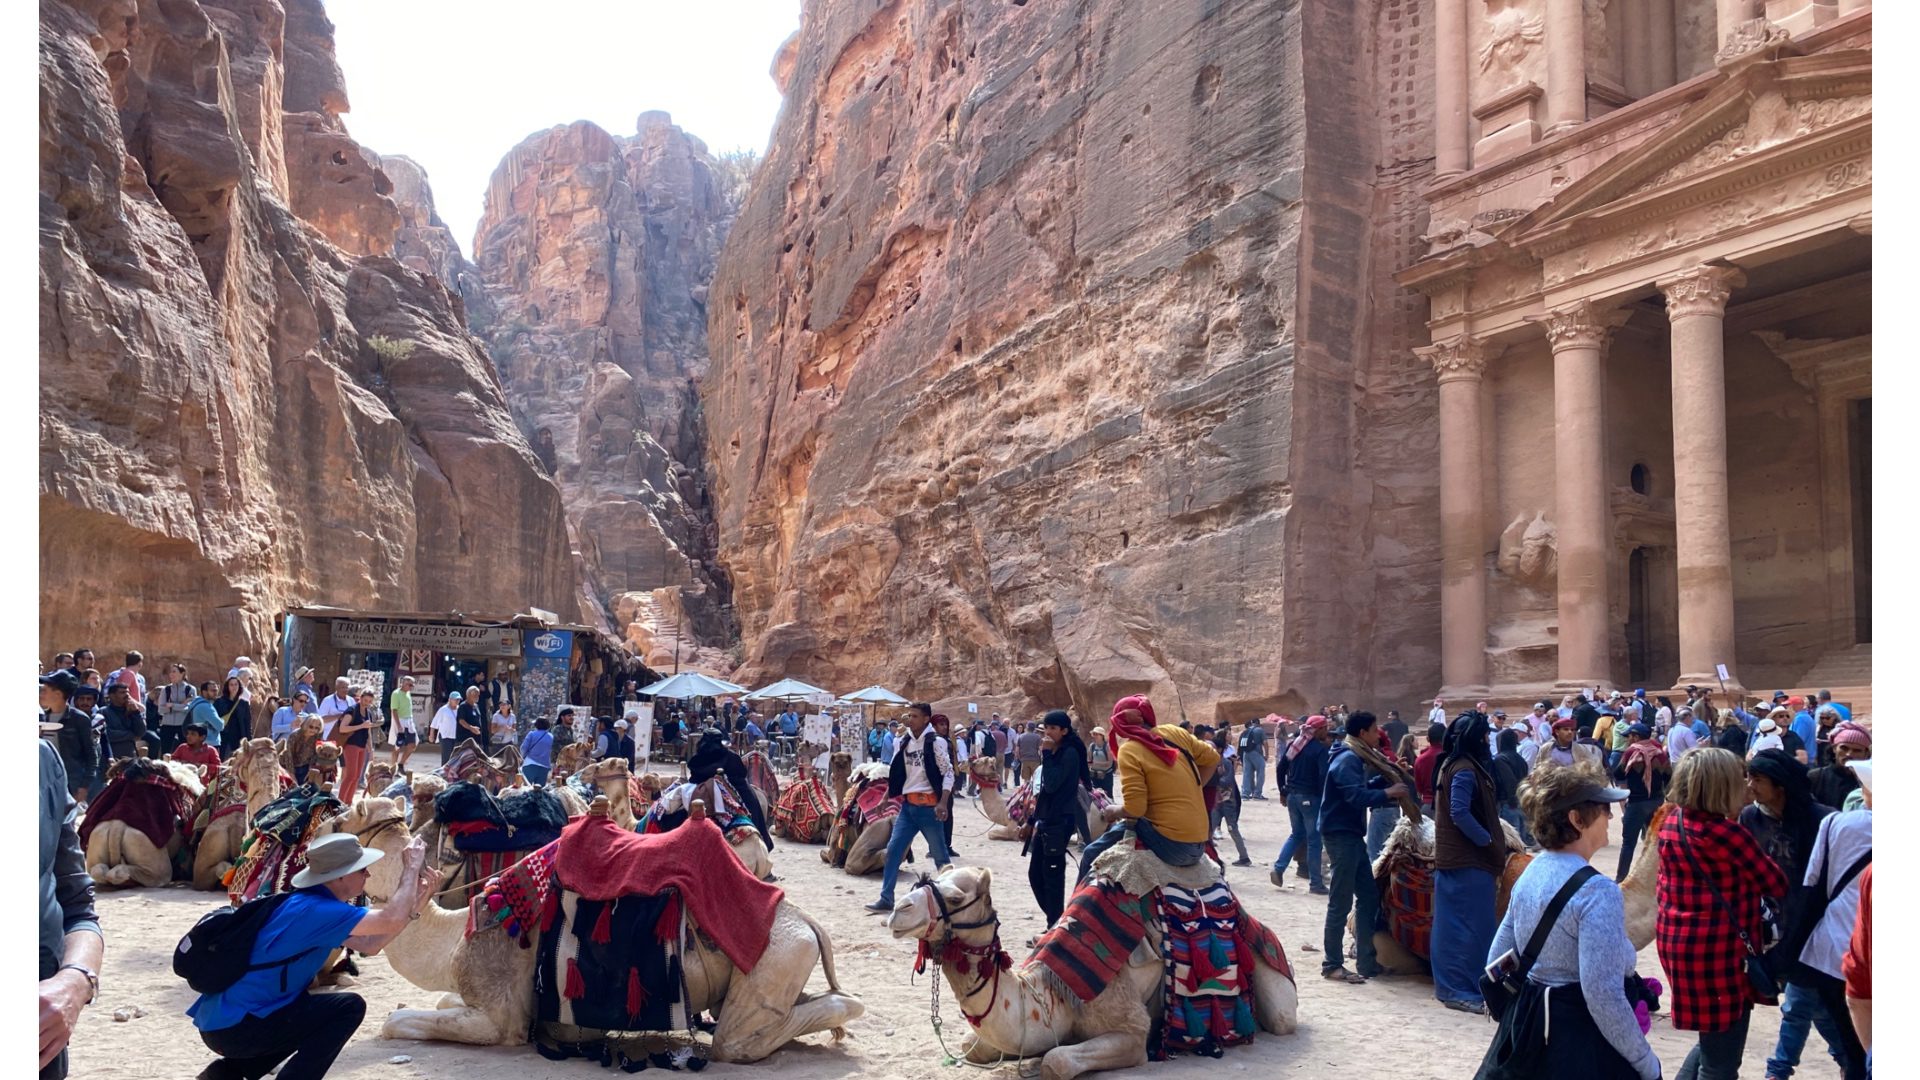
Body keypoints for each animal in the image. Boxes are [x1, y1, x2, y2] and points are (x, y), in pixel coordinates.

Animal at [890, 860, 1297, 1080]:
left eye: (956, 896)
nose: (898, 910)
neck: (1052, 995)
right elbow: (970, 1046)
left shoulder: (1131, 1031)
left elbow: (1056, 1060)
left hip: (1274, 982)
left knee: (1281, 1018)